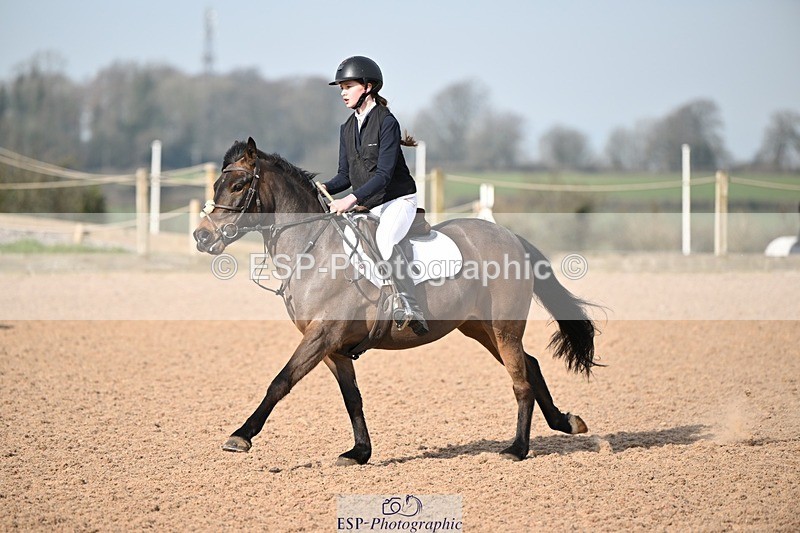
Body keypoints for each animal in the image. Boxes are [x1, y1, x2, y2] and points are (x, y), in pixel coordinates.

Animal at [193, 137, 598, 464]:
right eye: (216, 185)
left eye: (239, 185)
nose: (202, 237)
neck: (314, 250)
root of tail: (511, 237)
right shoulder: (334, 348)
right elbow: (352, 398)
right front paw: (359, 453)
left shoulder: (321, 336)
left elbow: (280, 381)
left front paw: (240, 436)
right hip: (480, 329)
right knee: (530, 365)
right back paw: (566, 423)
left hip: (503, 328)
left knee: (520, 381)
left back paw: (517, 449)